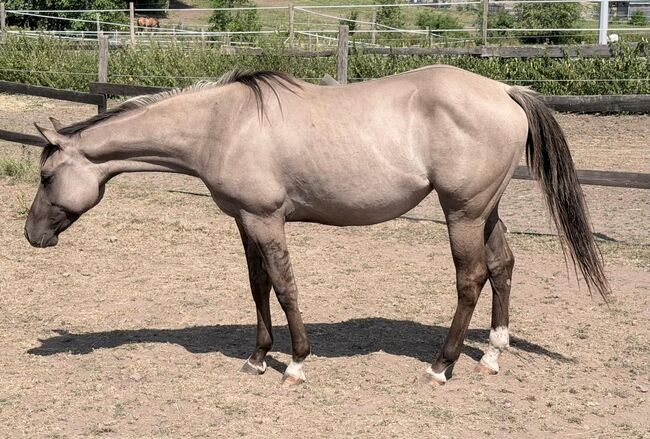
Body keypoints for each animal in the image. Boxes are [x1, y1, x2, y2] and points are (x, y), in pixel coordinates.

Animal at [25, 67, 609, 386]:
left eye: (48, 174)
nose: (32, 235)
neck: (222, 126)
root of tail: (505, 90)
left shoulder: (266, 219)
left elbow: (285, 286)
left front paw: (296, 362)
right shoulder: (245, 221)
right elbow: (258, 286)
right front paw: (258, 357)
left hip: (462, 212)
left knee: (471, 279)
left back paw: (442, 366)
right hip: (485, 210)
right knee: (503, 266)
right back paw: (491, 354)